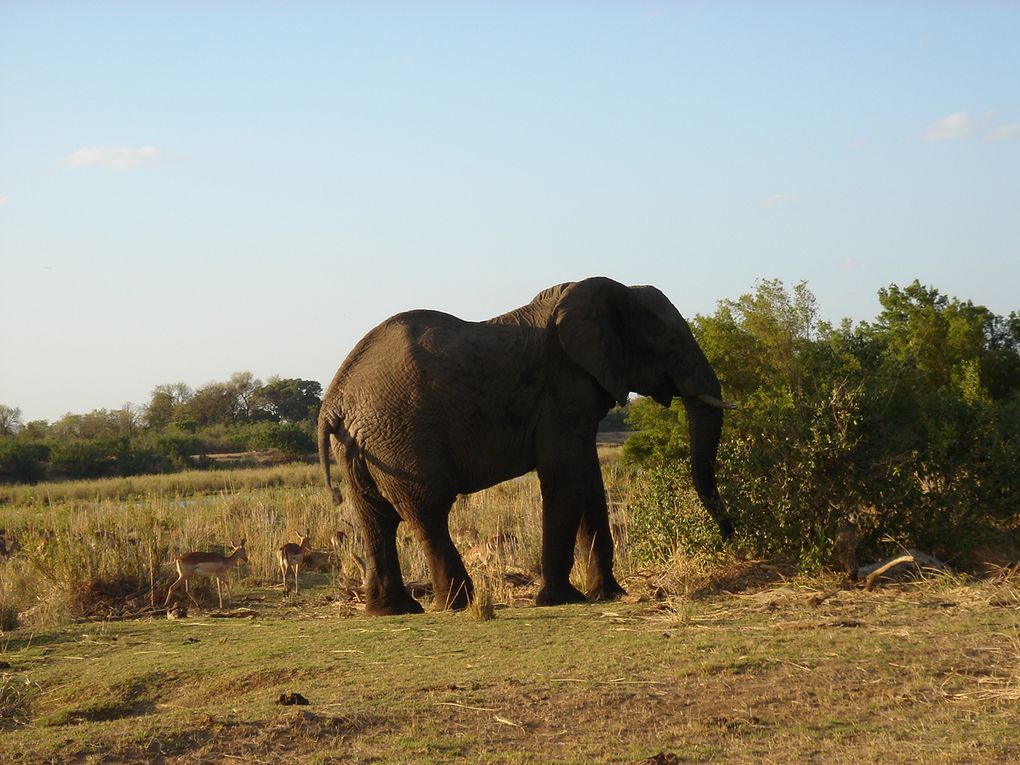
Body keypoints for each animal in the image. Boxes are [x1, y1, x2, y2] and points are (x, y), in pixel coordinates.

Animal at [314, 275, 730, 616]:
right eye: (671, 341)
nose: (730, 538)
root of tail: (334, 400)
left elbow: (589, 480)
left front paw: (608, 595)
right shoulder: (560, 388)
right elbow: (566, 474)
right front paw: (562, 600)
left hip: (362, 444)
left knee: (374, 519)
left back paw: (393, 610)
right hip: (401, 437)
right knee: (427, 511)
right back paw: (457, 604)